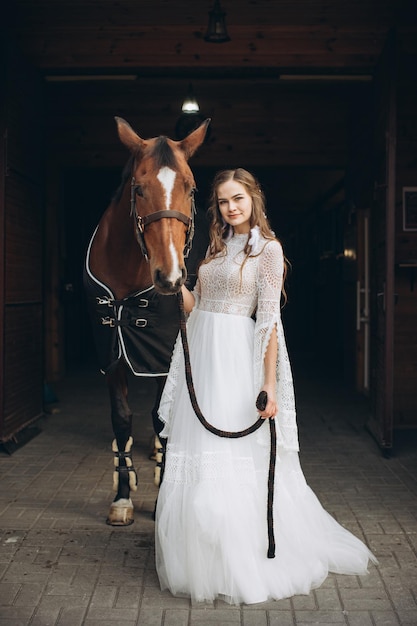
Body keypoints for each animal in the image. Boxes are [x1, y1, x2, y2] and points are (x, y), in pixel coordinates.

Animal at [84, 116, 210, 520]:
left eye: (190, 187)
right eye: (138, 189)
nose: (170, 277)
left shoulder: (162, 353)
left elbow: (160, 416)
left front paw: (160, 499)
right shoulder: (111, 353)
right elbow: (122, 418)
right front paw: (123, 496)